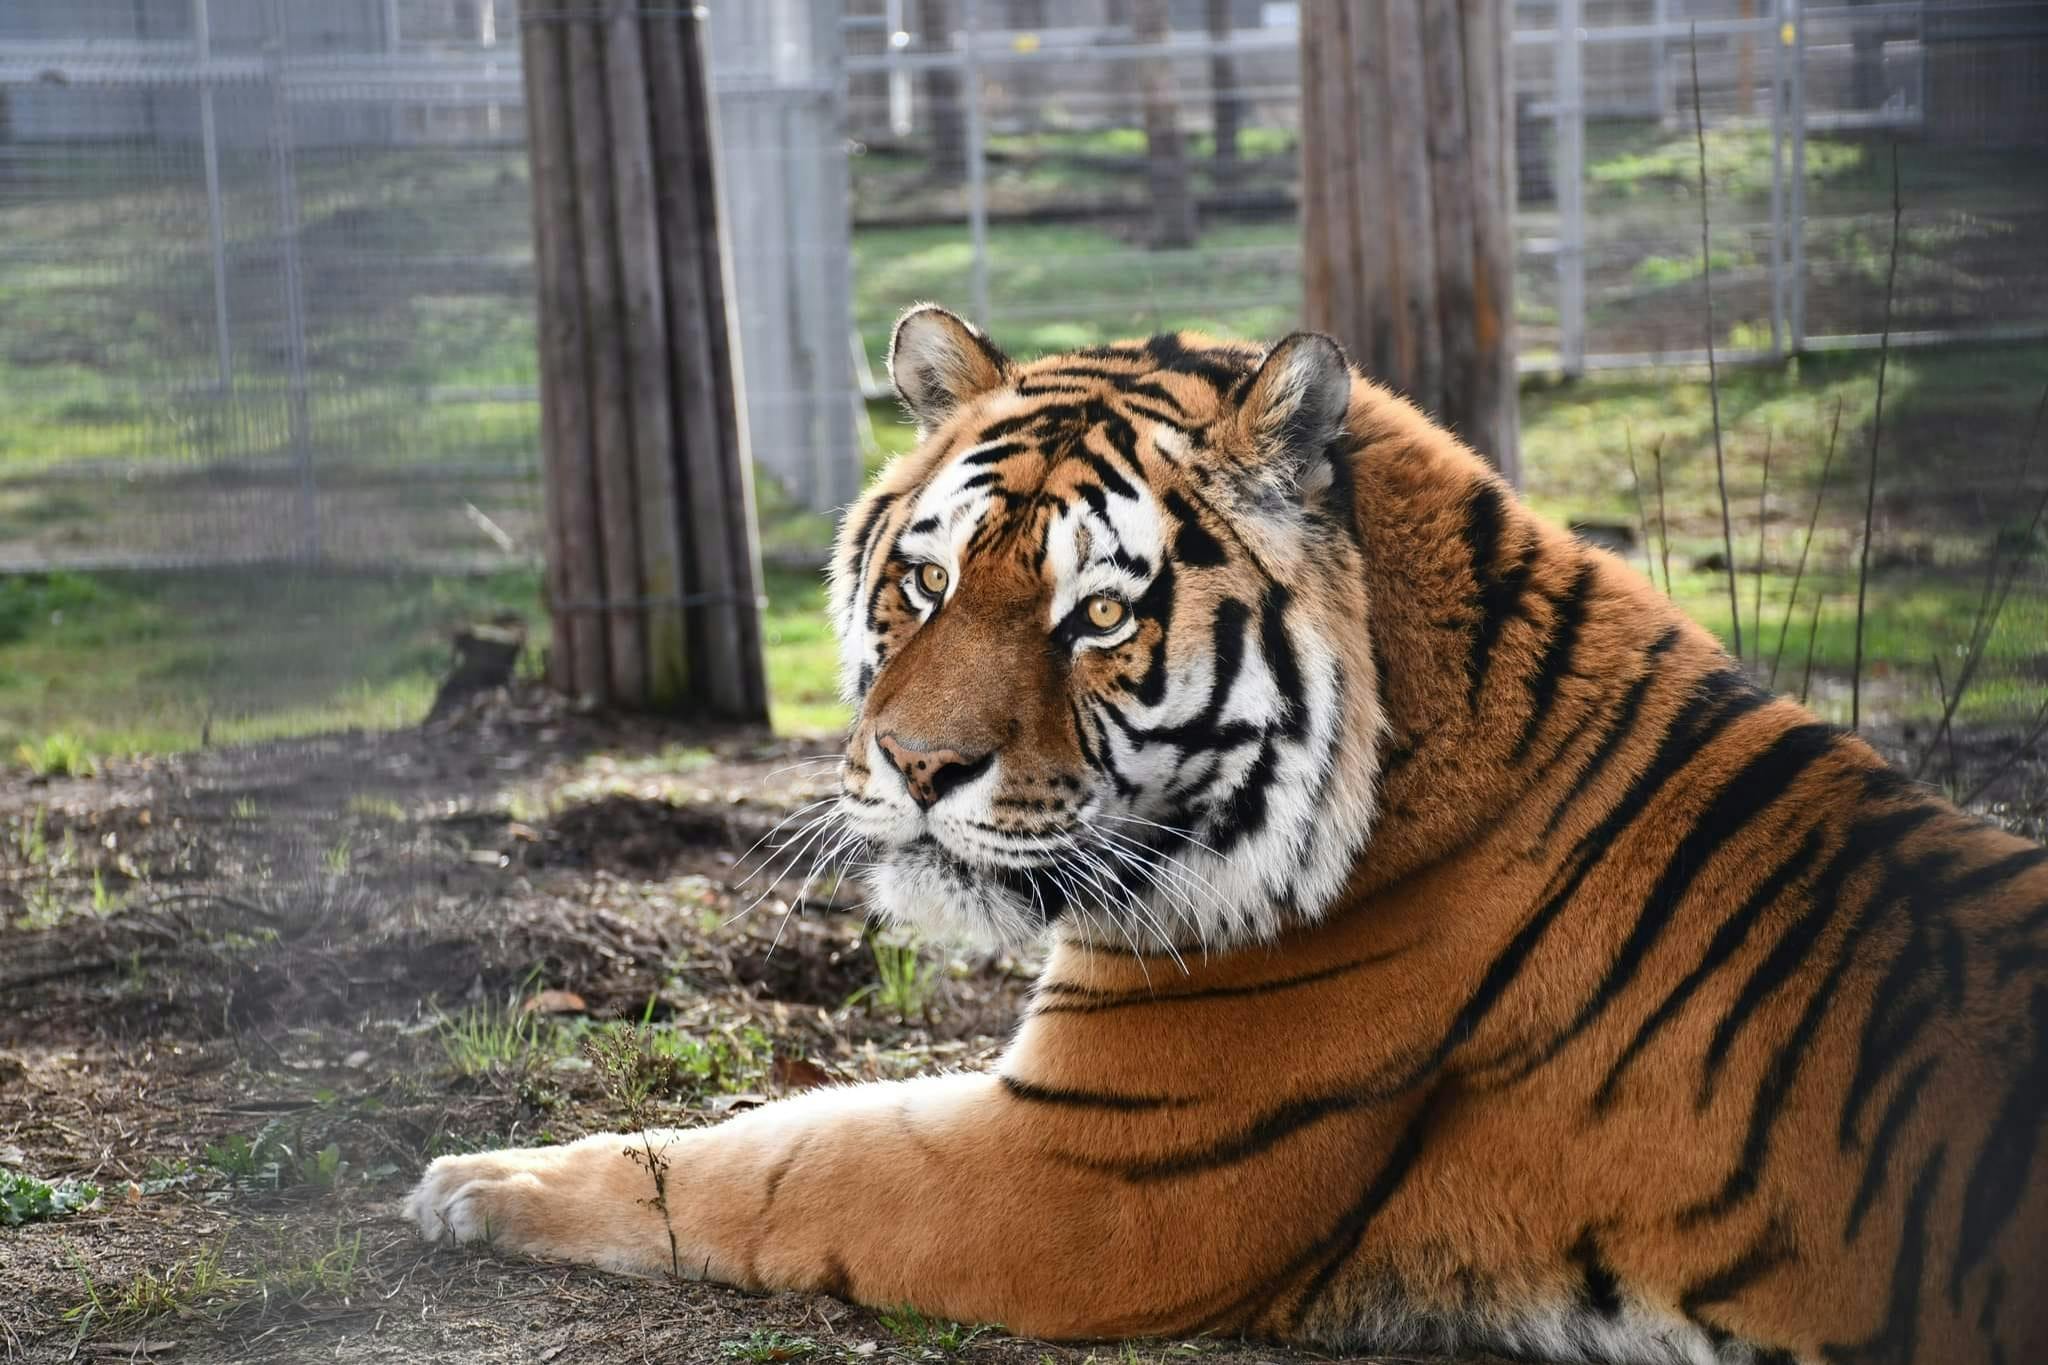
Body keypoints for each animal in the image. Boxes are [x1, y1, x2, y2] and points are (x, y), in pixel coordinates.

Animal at [408, 305, 2048, 1364]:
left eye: (1098, 616)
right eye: (926, 583)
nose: (920, 764)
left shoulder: (1078, 1181)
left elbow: (773, 1166)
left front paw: (479, 1183)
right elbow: (780, 1124)